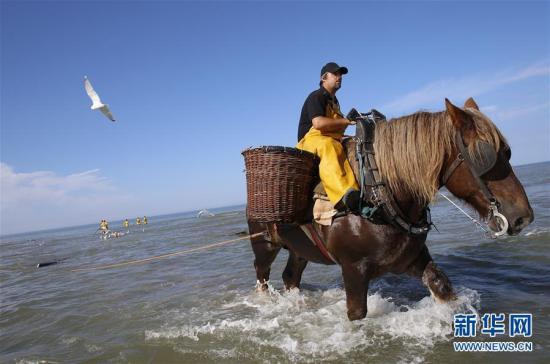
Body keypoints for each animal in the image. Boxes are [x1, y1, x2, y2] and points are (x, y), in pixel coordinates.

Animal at [249, 97, 536, 322]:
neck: (378, 193)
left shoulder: (409, 257)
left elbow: (440, 283)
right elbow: (357, 313)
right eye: (485, 156)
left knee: (290, 276)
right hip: (264, 245)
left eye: (508, 152)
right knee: (262, 275)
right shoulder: (353, 269)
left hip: (299, 249)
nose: (523, 217)